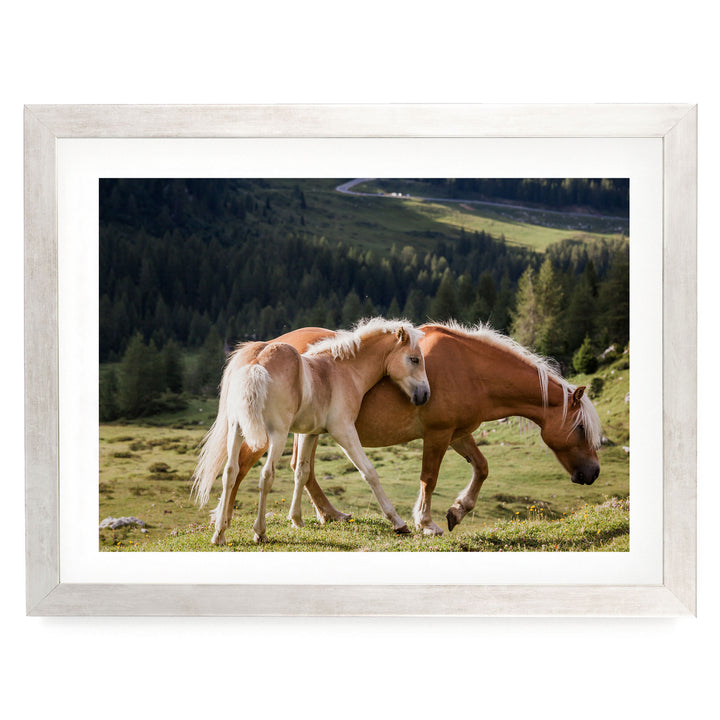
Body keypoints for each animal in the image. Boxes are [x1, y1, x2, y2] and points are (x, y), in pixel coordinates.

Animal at [191, 318, 431, 544]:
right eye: (414, 359)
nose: (425, 395)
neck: (342, 370)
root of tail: (256, 362)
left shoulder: (309, 433)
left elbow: (301, 472)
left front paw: (296, 519)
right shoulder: (343, 431)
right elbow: (369, 472)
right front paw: (398, 522)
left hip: (237, 429)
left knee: (230, 472)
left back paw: (219, 533)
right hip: (276, 435)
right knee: (266, 476)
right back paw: (260, 532)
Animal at [209, 321, 603, 537]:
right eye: (581, 429)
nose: (594, 473)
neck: (471, 369)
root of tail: (259, 351)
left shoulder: (459, 433)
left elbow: (482, 467)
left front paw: (458, 510)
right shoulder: (439, 434)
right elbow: (429, 478)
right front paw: (426, 522)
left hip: (308, 430)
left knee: (299, 470)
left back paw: (328, 515)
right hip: (268, 432)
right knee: (243, 467)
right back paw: (225, 522)